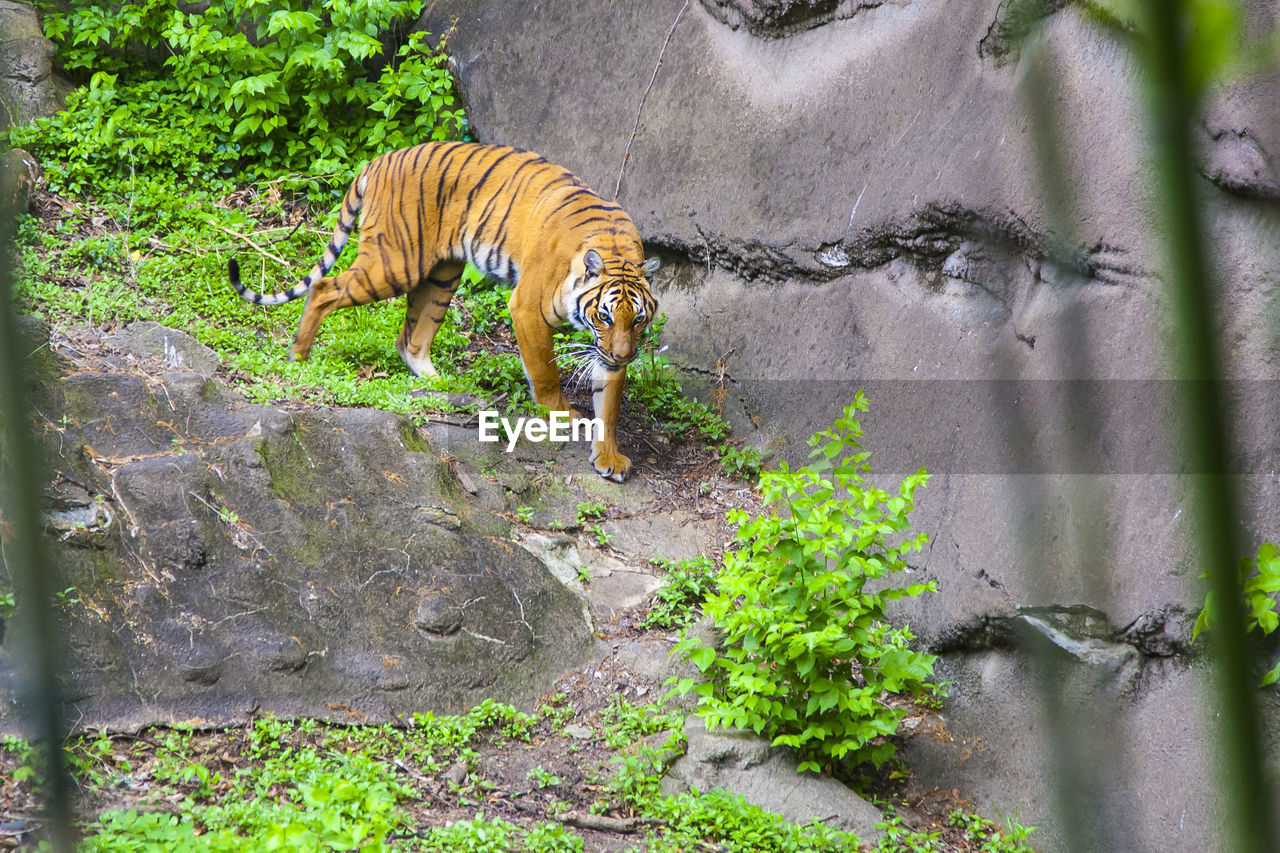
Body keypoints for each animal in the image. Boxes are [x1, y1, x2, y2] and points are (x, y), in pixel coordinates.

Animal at [226, 139, 660, 479]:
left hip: (441, 274)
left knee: (409, 338)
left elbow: (609, 403)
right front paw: (560, 414)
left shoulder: (607, 348)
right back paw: (298, 356)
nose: (623, 356)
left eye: (638, 320)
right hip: (393, 264)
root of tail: (379, 160)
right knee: (322, 288)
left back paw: (439, 383)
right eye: (604, 315)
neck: (616, 251)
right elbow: (546, 371)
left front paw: (609, 458)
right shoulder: (528, 309)